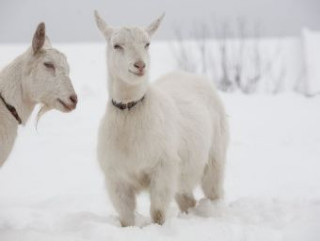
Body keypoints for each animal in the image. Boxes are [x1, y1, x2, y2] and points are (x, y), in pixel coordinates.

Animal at [94, 11, 229, 226]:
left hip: (215, 155)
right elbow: (126, 217)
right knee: (187, 199)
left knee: (214, 191)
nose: (140, 65)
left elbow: (157, 212)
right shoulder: (116, 177)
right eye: (117, 45)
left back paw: (214, 212)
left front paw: (159, 227)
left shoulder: (164, 168)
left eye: (147, 44)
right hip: (184, 172)